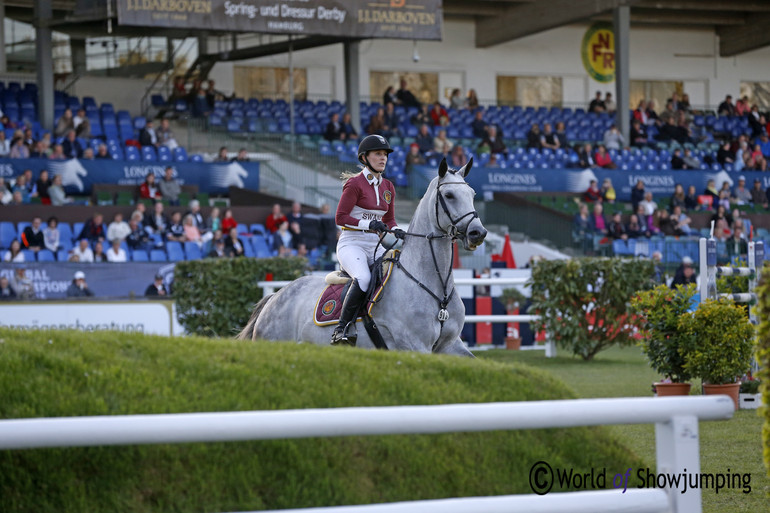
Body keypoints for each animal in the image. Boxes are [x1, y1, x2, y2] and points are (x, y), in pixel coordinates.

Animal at [236, 157, 486, 356]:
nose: (478, 233)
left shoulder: (450, 345)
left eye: (472, 194)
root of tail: (275, 298)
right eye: (449, 195)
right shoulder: (415, 345)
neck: (435, 285)